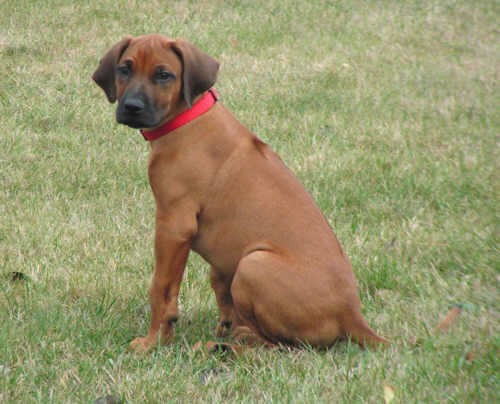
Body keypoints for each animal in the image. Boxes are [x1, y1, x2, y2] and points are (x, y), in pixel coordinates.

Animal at [92, 34, 387, 352]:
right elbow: (218, 288)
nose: (131, 106)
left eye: (163, 75)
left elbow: (161, 287)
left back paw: (220, 346)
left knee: (276, 345)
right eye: (124, 69)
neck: (187, 118)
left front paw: (153, 341)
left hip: (253, 264)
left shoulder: (174, 224)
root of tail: (352, 315)